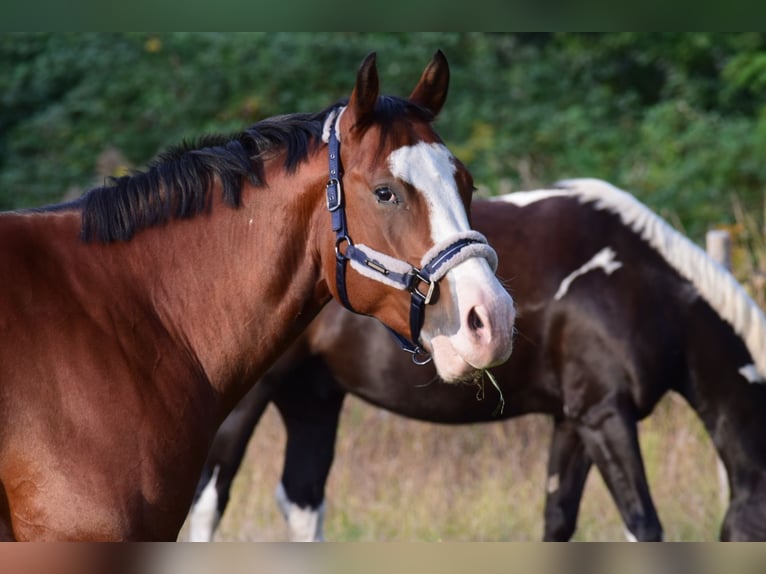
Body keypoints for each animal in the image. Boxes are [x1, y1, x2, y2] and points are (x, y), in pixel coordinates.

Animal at [186, 180, 766, 544]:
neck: (639, 283)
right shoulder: (606, 416)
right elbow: (643, 525)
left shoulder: (573, 421)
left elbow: (558, 522)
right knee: (208, 504)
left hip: (313, 398)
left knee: (303, 503)